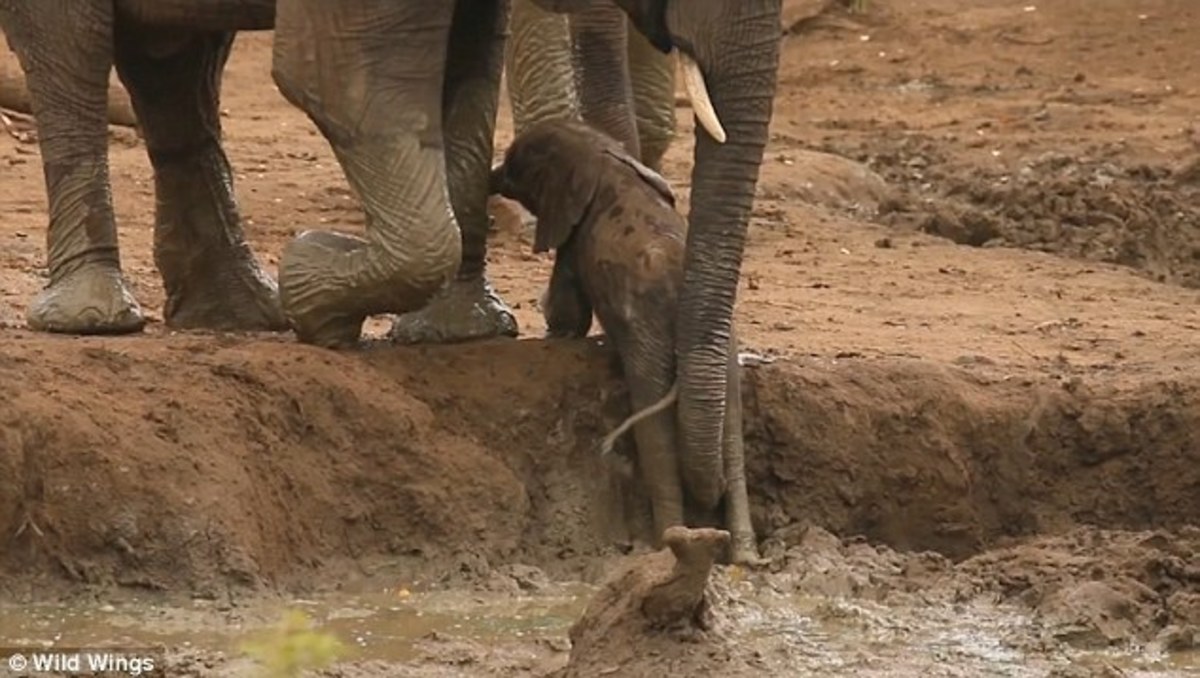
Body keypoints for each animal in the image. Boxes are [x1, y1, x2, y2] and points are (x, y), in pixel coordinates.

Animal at [489, 118, 758, 564]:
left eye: (515, 167)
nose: (491, 177)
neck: (604, 155)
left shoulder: (576, 240)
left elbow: (568, 304)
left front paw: (555, 333)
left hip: (646, 330)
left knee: (653, 426)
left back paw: (669, 542)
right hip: (727, 341)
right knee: (732, 426)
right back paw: (745, 557)